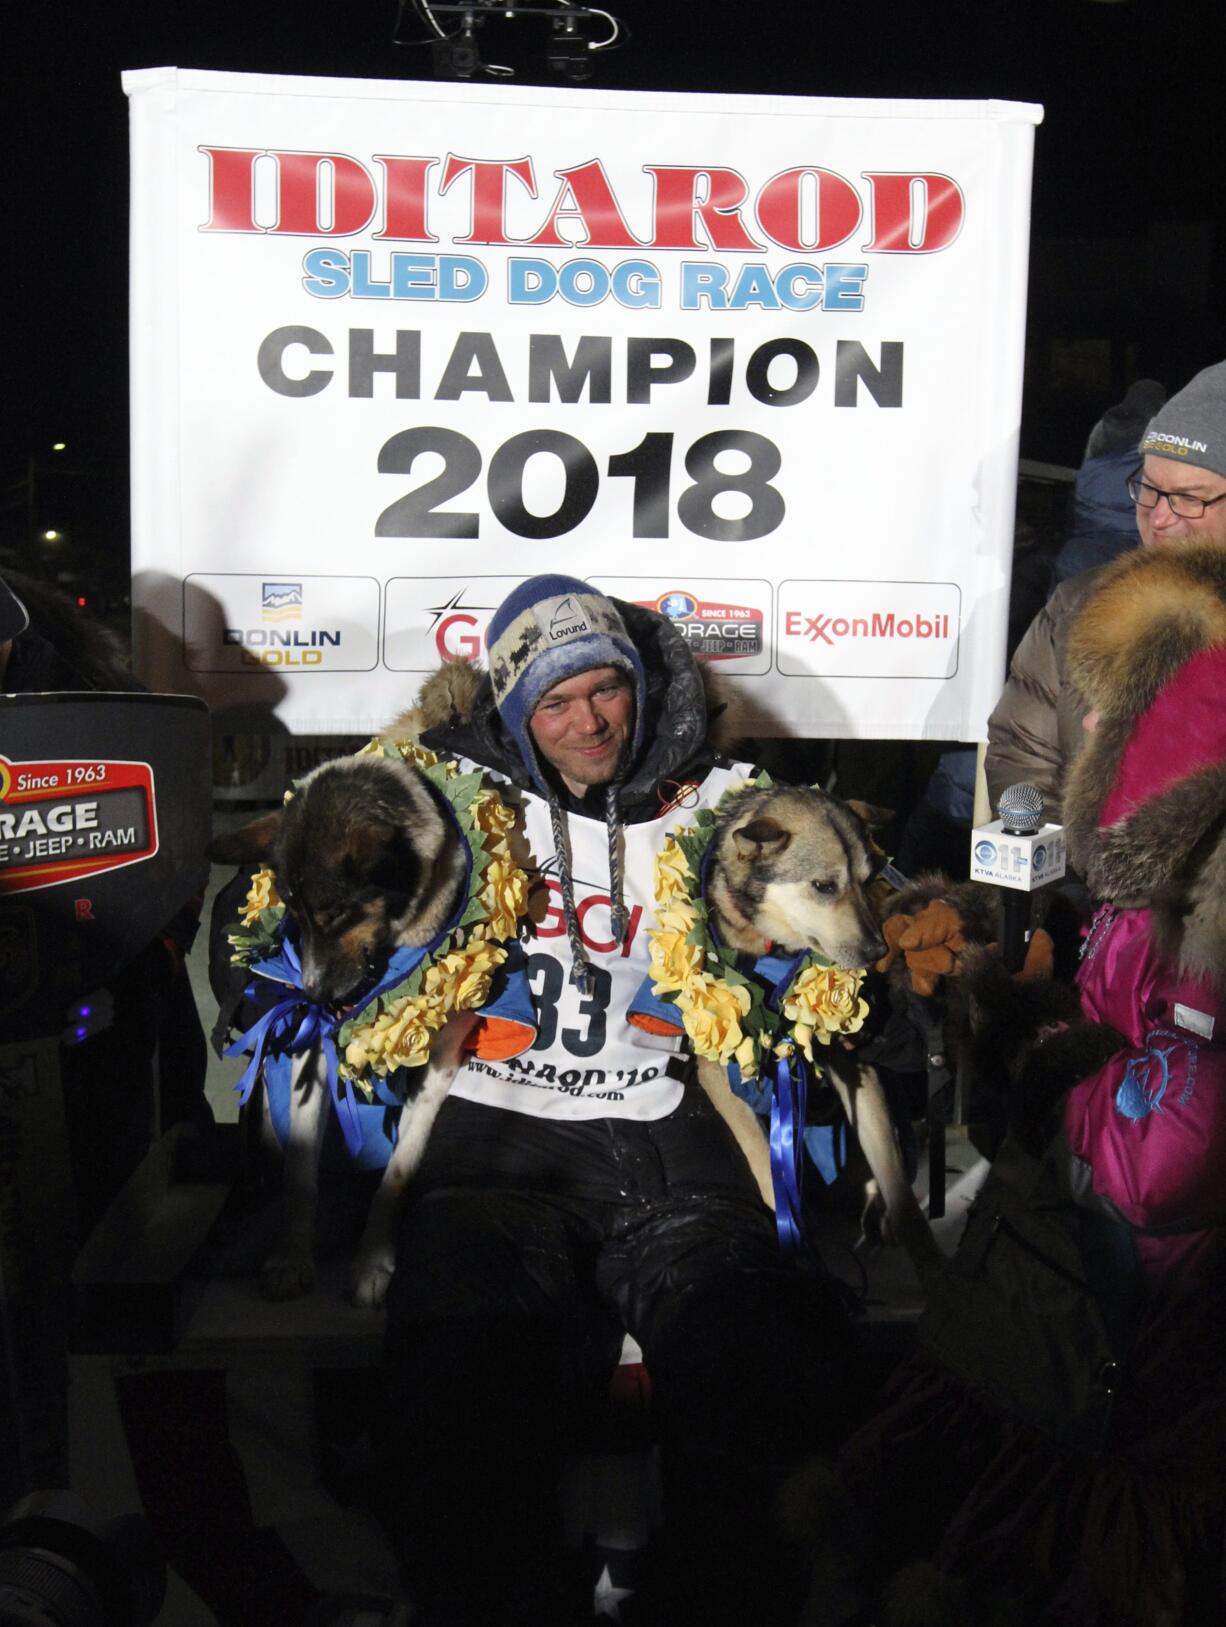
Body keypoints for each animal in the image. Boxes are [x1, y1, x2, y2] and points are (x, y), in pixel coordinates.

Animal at [214, 751, 471, 1308]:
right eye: (291, 911)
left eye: (336, 915)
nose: (311, 997)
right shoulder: (312, 1052)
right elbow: (299, 1173)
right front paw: (291, 1257)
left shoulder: (439, 1064)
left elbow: (398, 1171)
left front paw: (373, 1261)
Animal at [692, 780, 943, 1275]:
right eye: (825, 886)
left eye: (868, 879)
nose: (877, 952)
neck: (775, 952)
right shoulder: (714, 1072)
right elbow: (763, 1162)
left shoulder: (857, 1070)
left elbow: (899, 1189)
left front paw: (934, 1268)